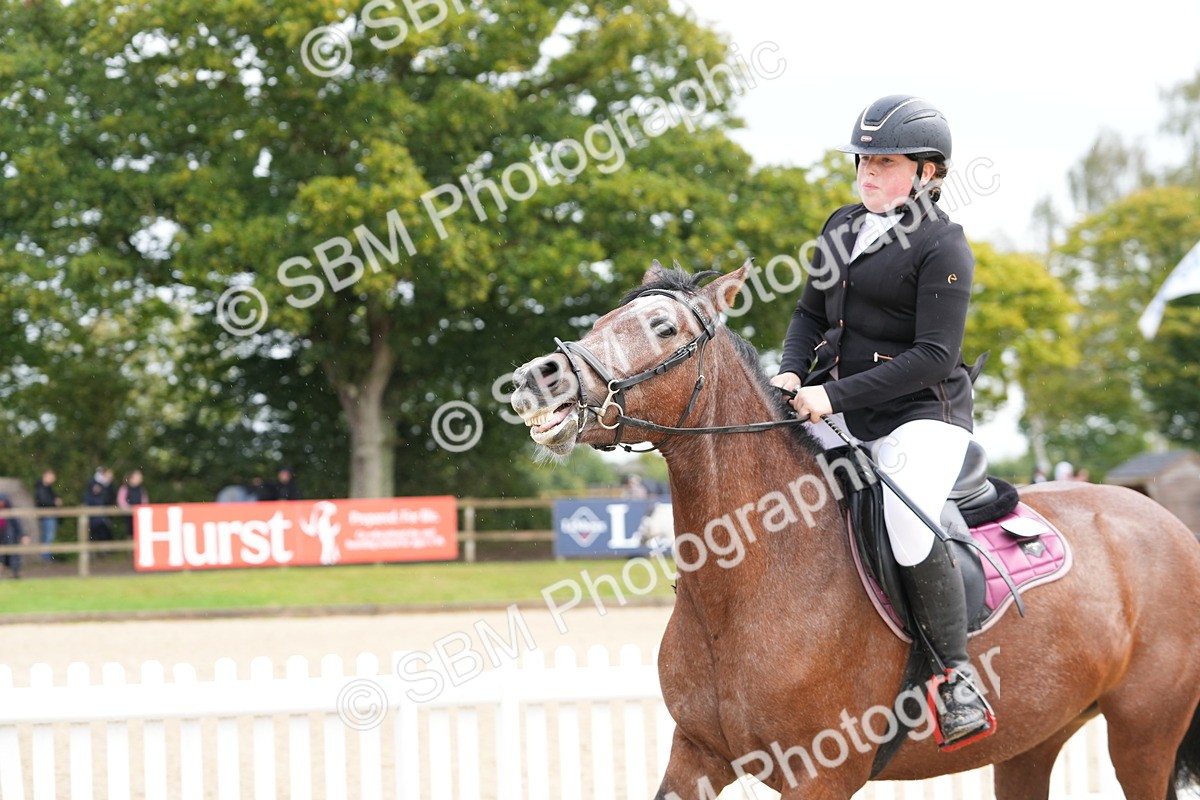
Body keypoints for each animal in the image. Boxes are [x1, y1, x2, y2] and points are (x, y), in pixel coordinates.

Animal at [510, 263, 1200, 799]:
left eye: (662, 327)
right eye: (602, 316)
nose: (537, 379)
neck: (745, 588)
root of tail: (1168, 524)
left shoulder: (820, 777)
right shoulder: (697, 756)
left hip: (1143, 734)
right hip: (1037, 737)